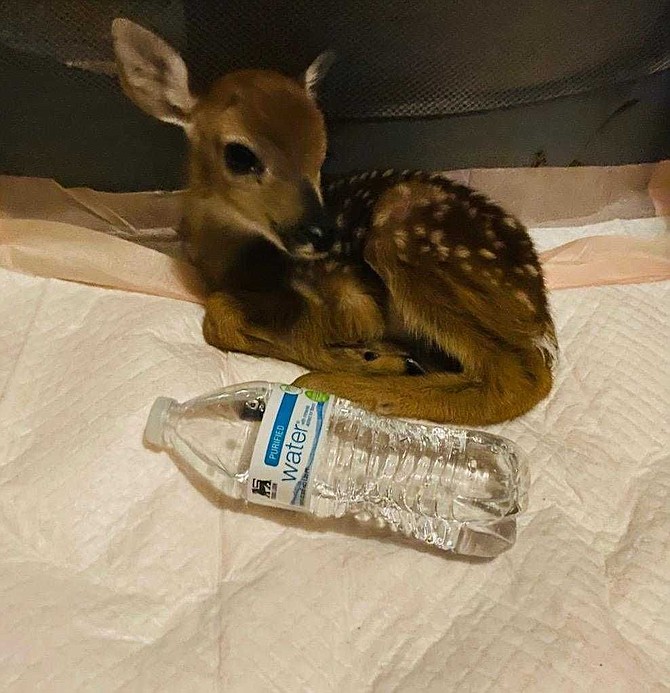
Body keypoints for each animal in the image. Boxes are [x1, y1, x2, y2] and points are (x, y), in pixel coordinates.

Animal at [114, 18, 556, 424]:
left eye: (322, 151)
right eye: (240, 155)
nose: (324, 232)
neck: (243, 266)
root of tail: (537, 302)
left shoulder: (348, 292)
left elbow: (222, 315)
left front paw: (353, 357)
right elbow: (221, 312)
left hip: (402, 236)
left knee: (522, 376)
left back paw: (343, 384)